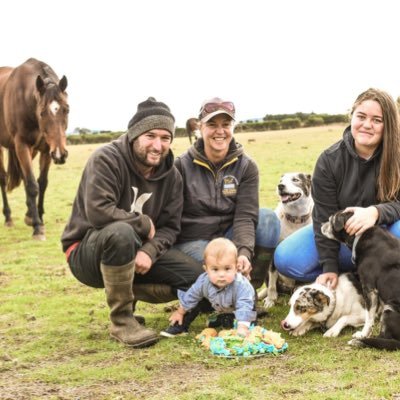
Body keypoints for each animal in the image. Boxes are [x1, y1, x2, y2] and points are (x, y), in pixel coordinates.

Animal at [0, 57, 69, 239]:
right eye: (42, 112)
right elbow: (32, 185)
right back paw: (8, 218)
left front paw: (37, 217)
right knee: (3, 179)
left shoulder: (46, 149)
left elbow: (42, 183)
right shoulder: (22, 145)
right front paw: (37, 227)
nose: (60, 154)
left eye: (67, 110)